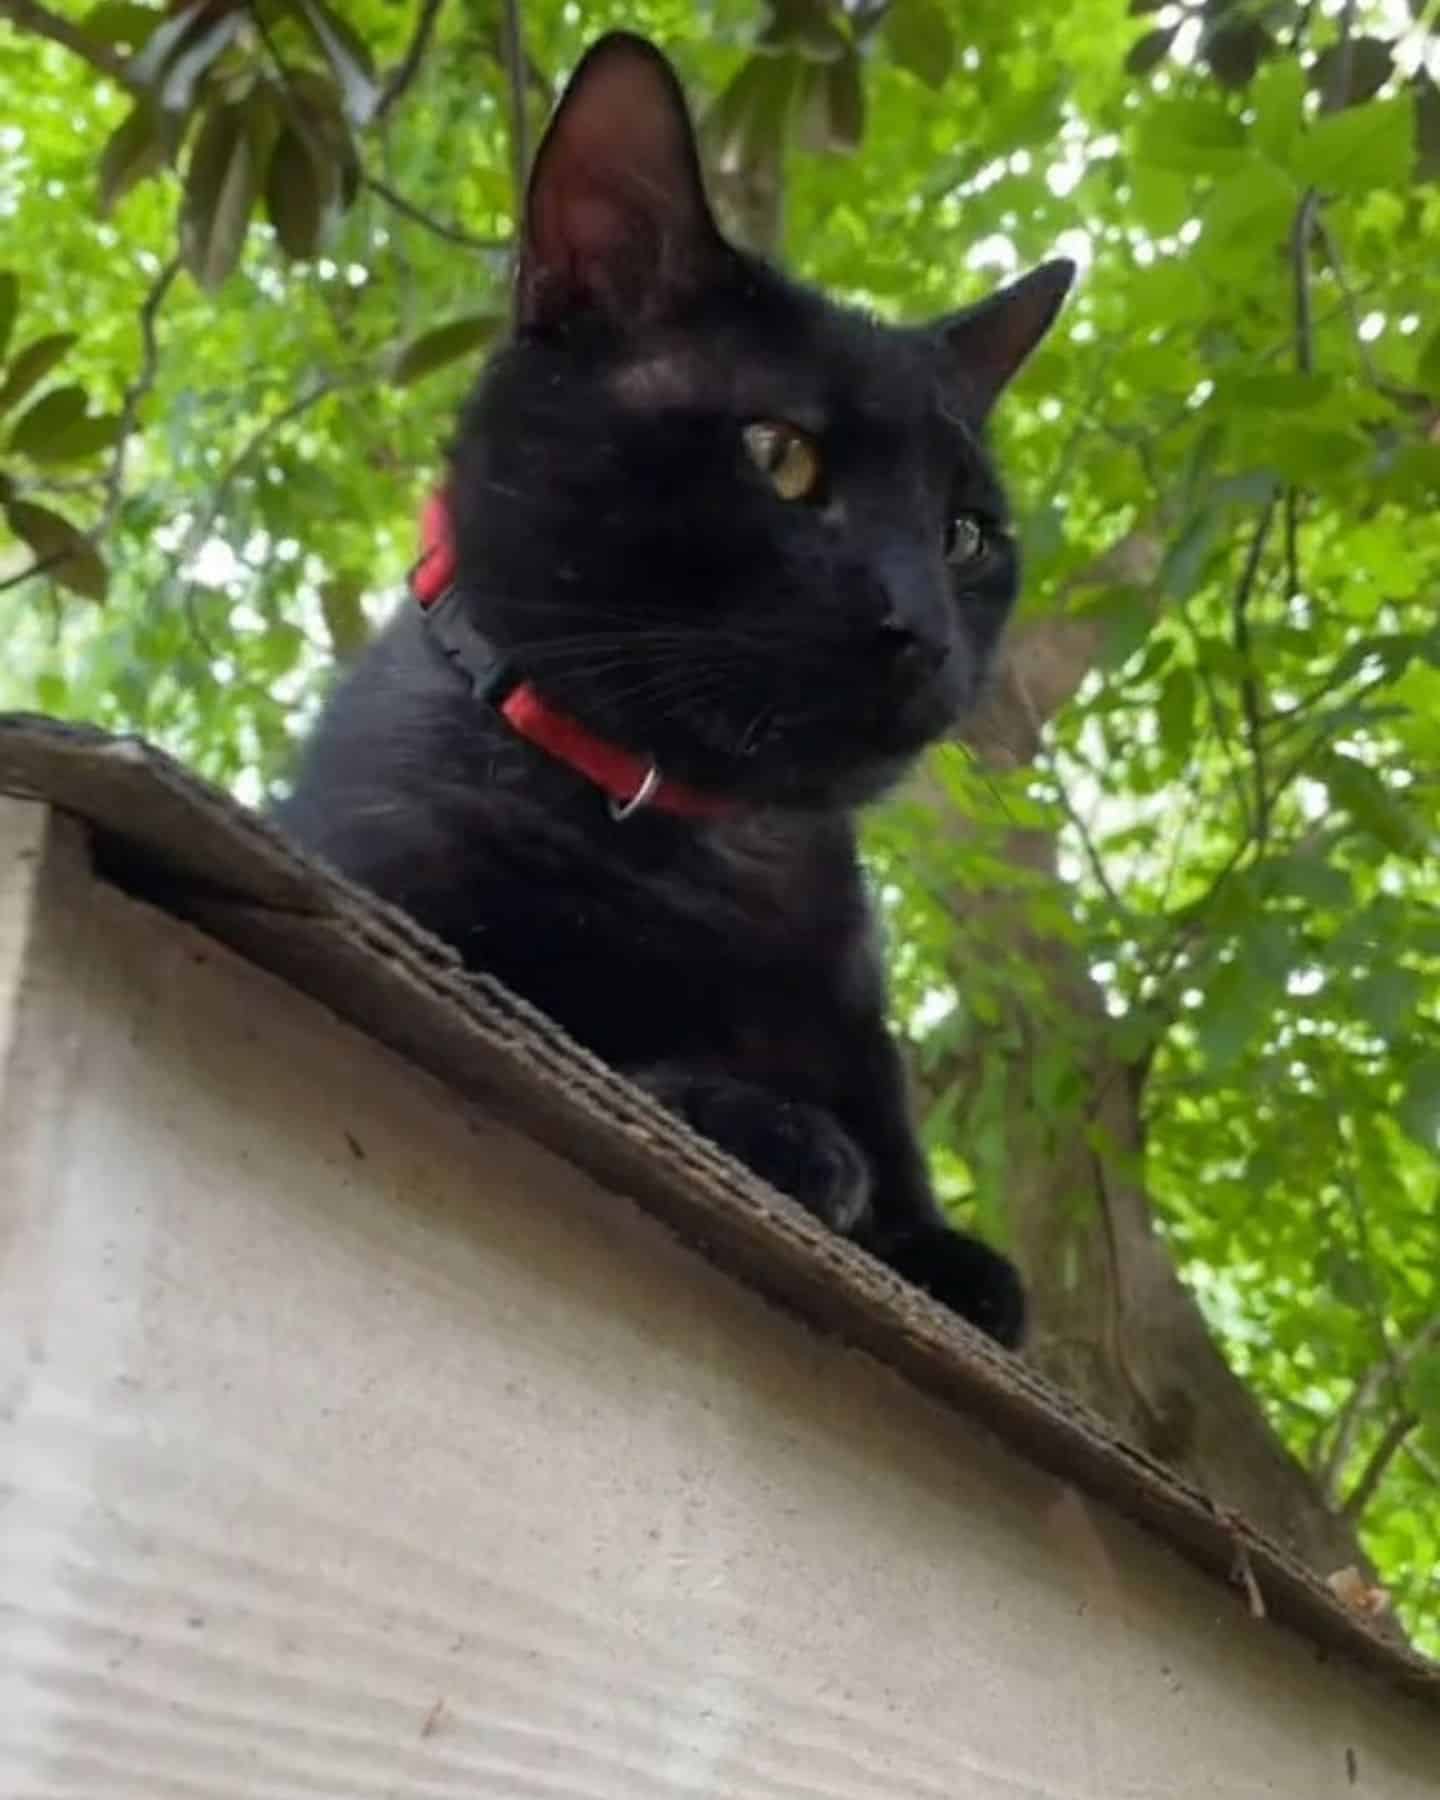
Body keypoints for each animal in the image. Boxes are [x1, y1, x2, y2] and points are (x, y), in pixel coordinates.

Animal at [280, 31, 1065, 1353]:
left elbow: (954, 1250)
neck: (705, 849)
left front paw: (933, 1247)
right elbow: (573, 1028)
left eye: (965, 535)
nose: (920, 625)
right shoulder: (391, 907)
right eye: (780, 456)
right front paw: (777, 1128)